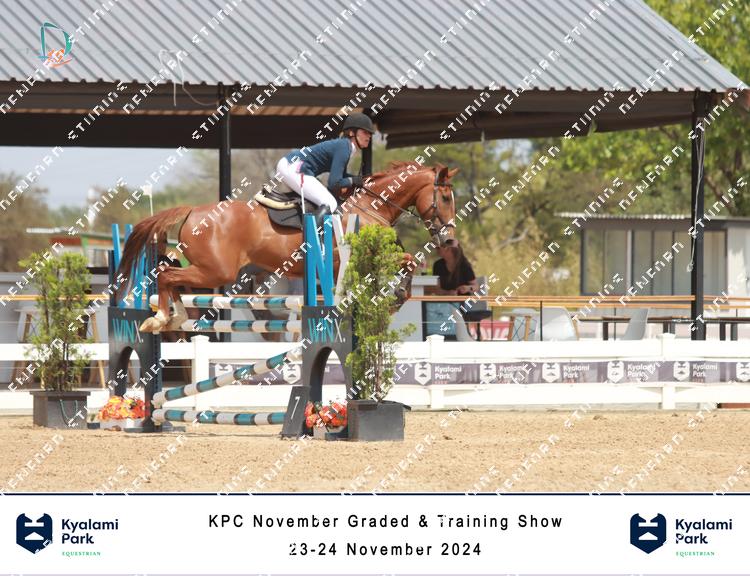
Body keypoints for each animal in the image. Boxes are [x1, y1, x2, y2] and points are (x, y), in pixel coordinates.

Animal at [116, 162, 460, 333]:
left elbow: (405, 262)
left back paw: (172, 317)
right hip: (216, 271)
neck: (370, 207)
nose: (448, 240)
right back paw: (161, 319)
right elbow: (408, 260)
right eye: (444, 198)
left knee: (167, 275)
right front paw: (397, 296)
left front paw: (396, 296)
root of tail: (193, 211)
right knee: (167, 276)